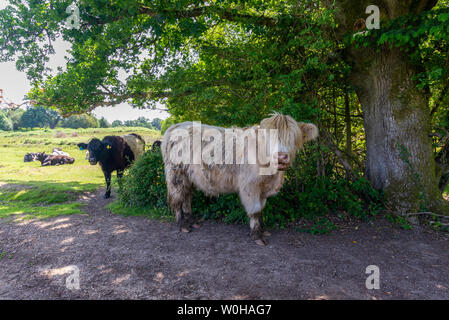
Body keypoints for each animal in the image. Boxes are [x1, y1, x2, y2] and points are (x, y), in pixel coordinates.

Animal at [161, 112, 318, 245]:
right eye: (268, 137)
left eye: (293, 137)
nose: (281, 157)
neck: (272, 175)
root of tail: (175, 126)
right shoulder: (250, 186)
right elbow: (255, 210)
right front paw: (257, 236)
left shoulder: (263, 188)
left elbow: (261, 209)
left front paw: (263, 230)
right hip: (176, 174)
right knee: (177, 199)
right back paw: (182, 225)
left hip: (189, 177)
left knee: (187, 197)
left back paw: (192, 221)